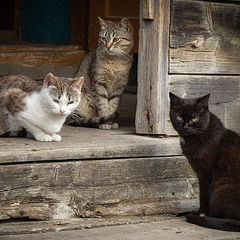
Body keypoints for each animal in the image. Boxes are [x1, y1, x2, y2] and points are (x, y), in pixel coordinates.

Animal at [169, 91, 240, 231]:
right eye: (179, 117)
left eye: (194, 119)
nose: (185, 126)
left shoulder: (205, 174)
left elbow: (203, 195)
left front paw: (200, 212)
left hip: (221, 187)